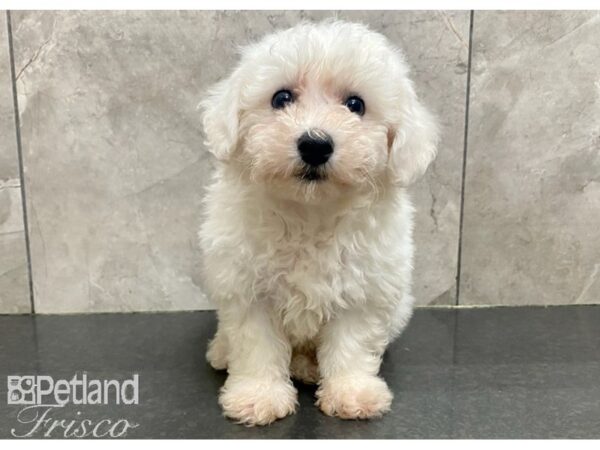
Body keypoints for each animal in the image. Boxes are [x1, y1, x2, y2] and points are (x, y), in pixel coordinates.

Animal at [199, 19, 438, 426]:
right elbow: (257, 345)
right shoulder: (248, 290)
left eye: (356, 104)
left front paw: (352, 392)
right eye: (281, 98)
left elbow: (352, 343)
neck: (309, 212)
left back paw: (309, 367)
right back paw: (223, 351)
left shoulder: (365, 290)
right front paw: (258, 396)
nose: (315, 144)